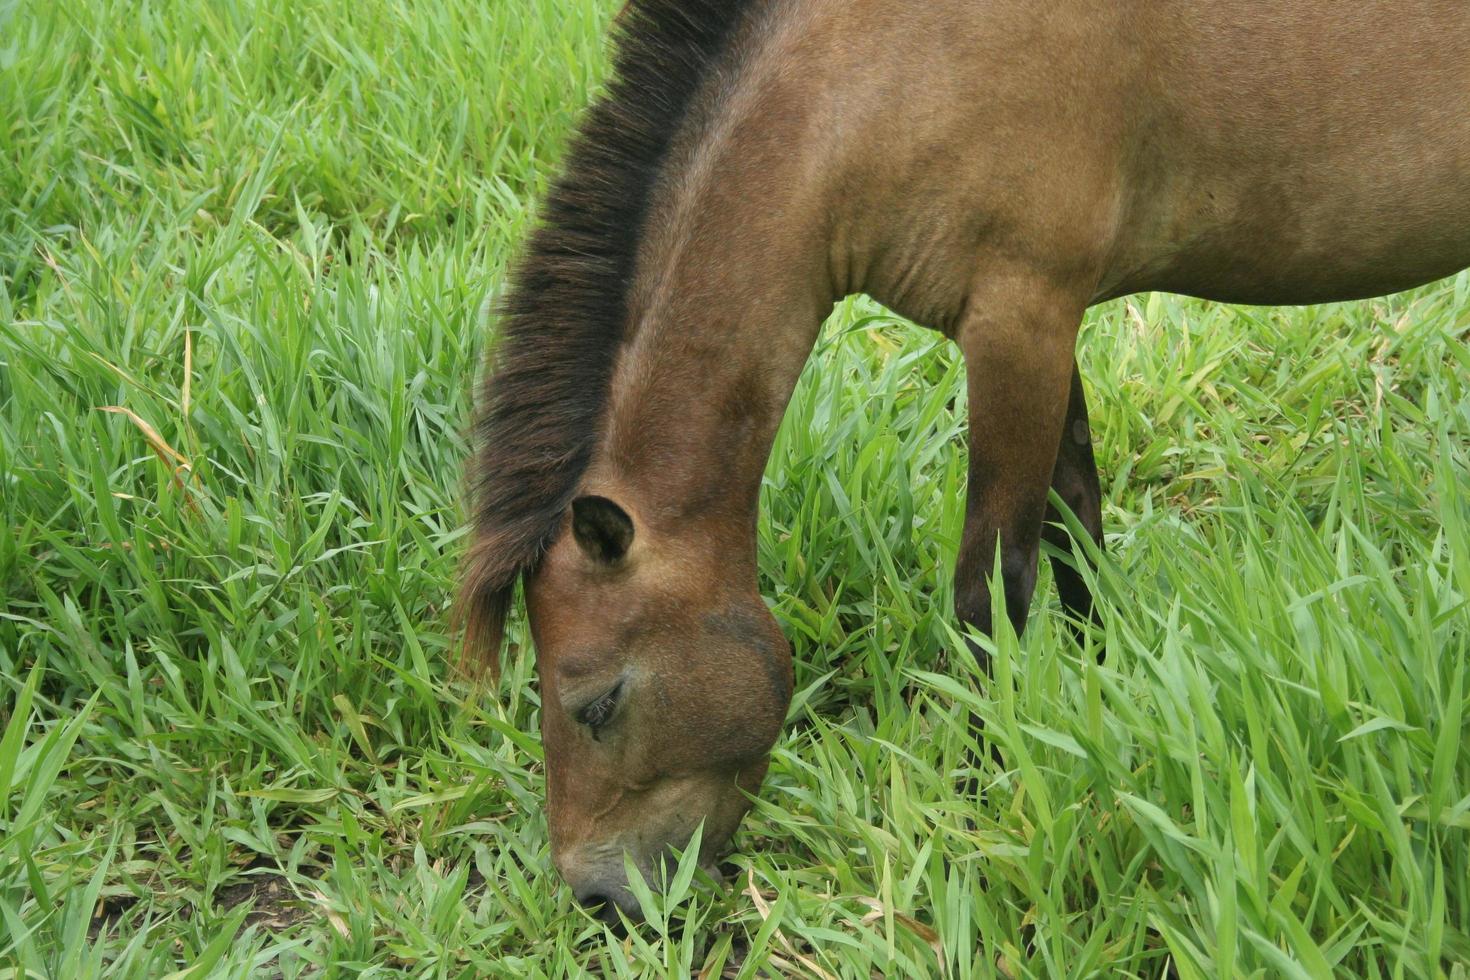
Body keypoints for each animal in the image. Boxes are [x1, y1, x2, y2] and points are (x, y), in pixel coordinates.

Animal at [458, 0, 1470, 922]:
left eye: (596, 703)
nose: (597, 897)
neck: (877, 65)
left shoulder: (1020, 317)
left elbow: (995, 588)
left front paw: (984, 793)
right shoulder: (1042, 325)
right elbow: (1076, 529)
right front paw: (1099, 696)